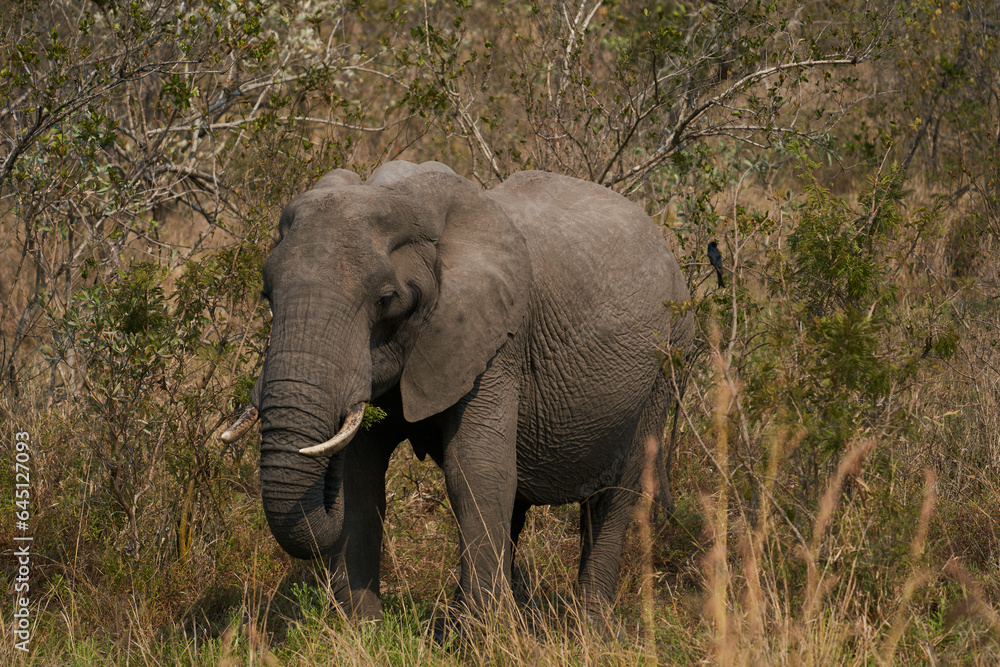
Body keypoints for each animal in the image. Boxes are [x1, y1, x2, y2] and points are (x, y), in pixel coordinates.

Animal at [221, 160, 694, 625]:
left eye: (386, 299)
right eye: (267, 294)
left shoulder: (496, 342)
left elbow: (476, 468)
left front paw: (483, 635)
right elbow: (361, 476)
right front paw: (363, 630)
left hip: (667, 359)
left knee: (619, 491)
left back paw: (589, 629)